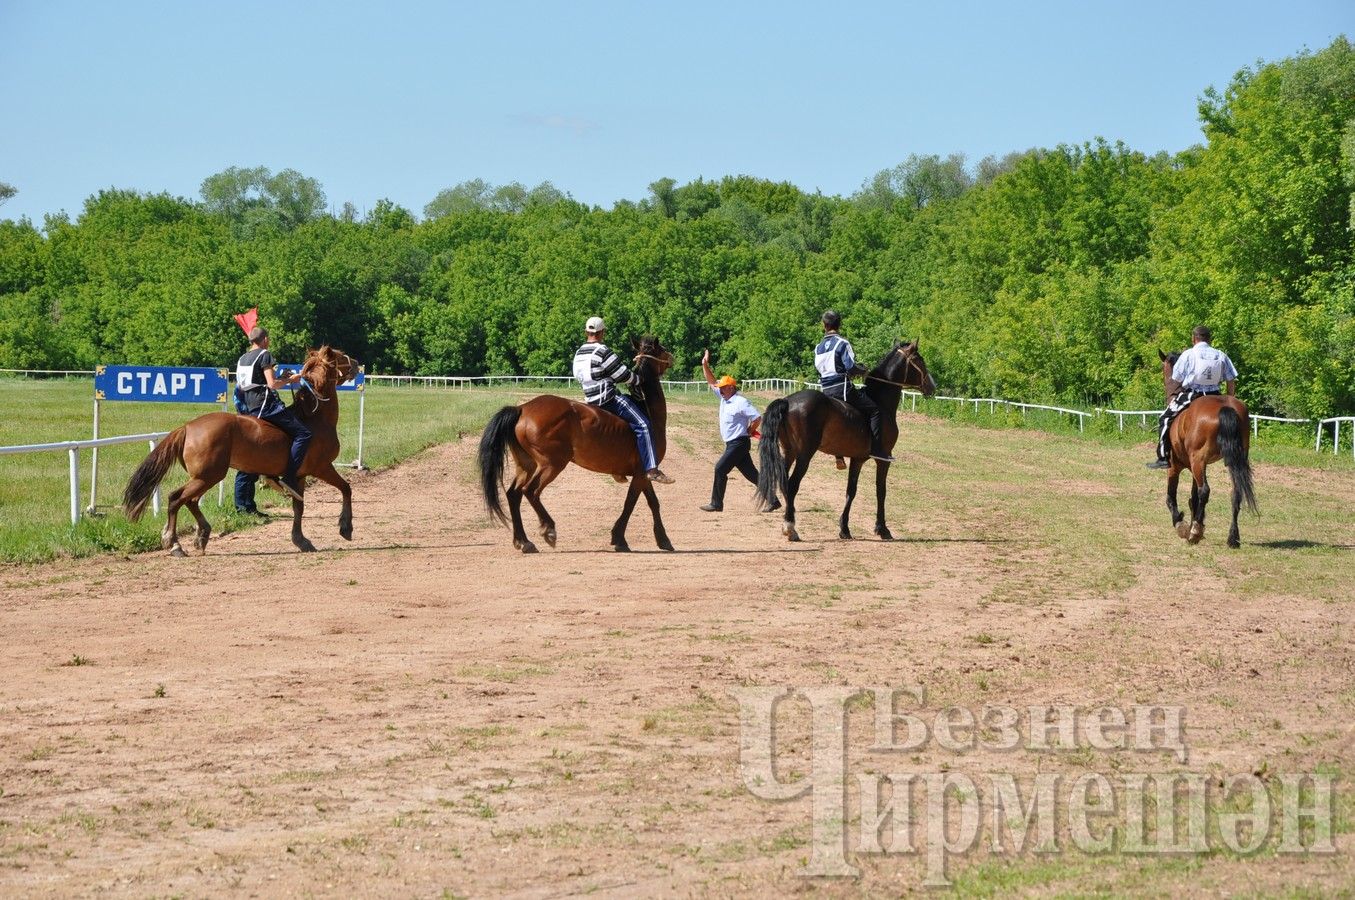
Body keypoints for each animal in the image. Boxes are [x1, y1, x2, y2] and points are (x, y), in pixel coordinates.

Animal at [123, 345, 357, 553]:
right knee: (176, 499)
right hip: (208, 476)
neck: (313, 417)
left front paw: (301, 540)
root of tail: (188, 427)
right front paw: (345, 527)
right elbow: (346, 488)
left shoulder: (299, 476)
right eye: (340, 355)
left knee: (191, 501)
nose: (356, 363)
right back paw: (174, 543)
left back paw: (202, 535)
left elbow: (298, 507)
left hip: (204, 477)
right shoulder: (322, 467)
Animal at [479, 336, 677, 553]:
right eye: (660, 349)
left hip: (526, 465)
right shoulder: (642, 472)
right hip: (552, 465)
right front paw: (620, 538)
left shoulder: (643, 474)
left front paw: (662, 539)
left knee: (514, 495)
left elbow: (653, 503)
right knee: (531, 491)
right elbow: (630, 503)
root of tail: (522, 409)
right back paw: (548, 530)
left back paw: (524, 541)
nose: (671, 357)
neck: (648, 410)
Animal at [753, 341, 932, 542]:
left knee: (784, 482)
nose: (932, 386)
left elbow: (850, 491)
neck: (881, 402)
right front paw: (882, 529)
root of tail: (787, 401)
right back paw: (790, 527)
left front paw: (844, 529)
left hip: (789, 451)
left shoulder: (857, 459)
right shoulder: (883, 460)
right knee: (792, 485)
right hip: (804, 455)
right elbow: (881, 491)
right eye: (920, 360)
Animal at [1154, 349, 1257, 547]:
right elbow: (1193, 497)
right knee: (1235, 492)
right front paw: (1196, 522)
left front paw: (1182, 525)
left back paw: (1194, 532)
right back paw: (1232, 537)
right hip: (1231, 460)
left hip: (1197, 462)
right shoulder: (1200, 466)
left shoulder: (1175, 466)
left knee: (1205, 491)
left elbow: (1172, 497)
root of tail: (1225, 407)